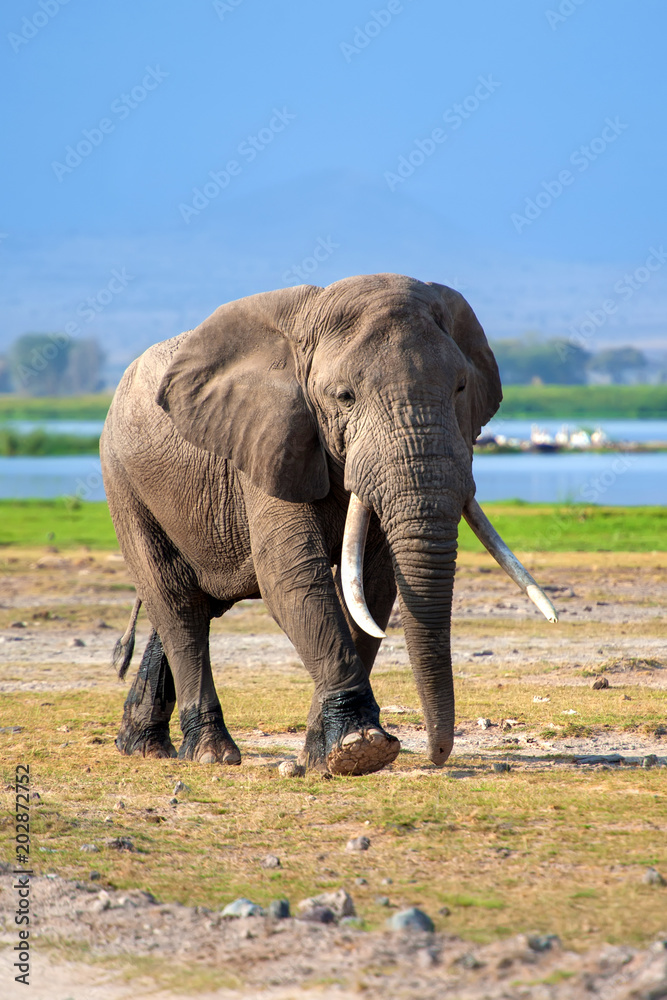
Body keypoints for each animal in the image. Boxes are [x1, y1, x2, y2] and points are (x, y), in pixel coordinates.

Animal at [100, 273, 557, 777]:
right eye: (344, 397)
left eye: (460, 388)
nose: (437, 755)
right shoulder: (270, 439)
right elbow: (292, 575)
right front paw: (363, 748)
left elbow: (373, 587)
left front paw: (323, 760)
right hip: (123, 478)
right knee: (176, 601)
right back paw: (210, 754)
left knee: (185, 602)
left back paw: (142, 747)